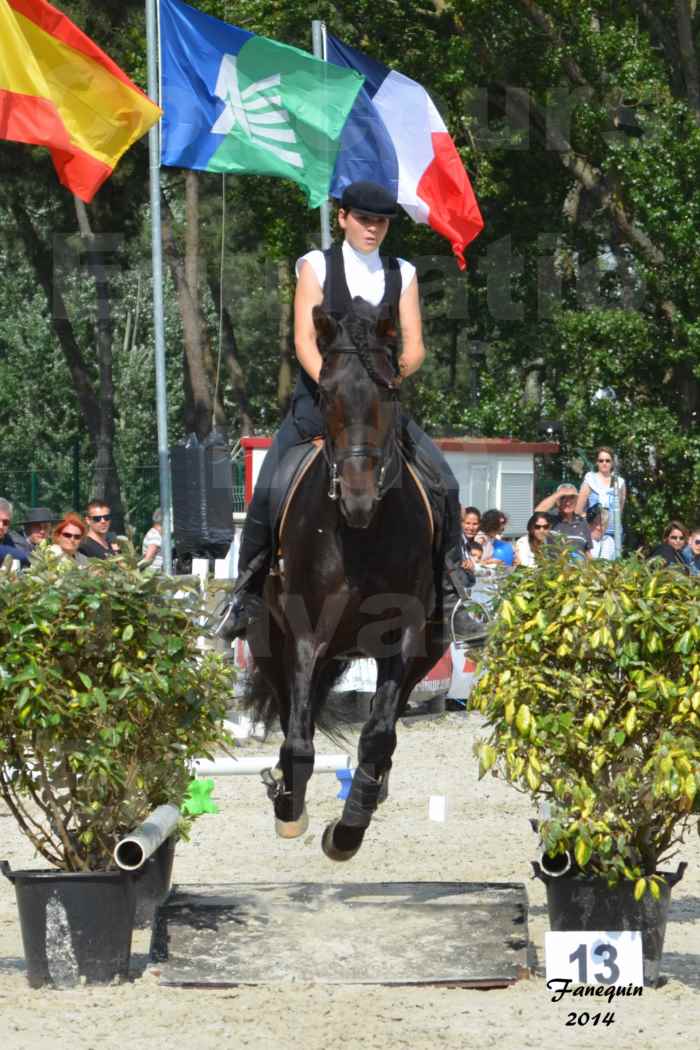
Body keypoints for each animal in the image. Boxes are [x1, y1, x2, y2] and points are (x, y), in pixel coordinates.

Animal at [243, 300, 447, 856]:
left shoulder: (404, 637)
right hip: (270, 642)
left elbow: (378, 734)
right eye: (328, 393)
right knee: (293, 715)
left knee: (381, 723)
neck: (361, 536)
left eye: (387, 392)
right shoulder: (305, 635)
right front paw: (289, 809)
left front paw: (349, 827)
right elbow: (297, 738)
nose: (358, 498)